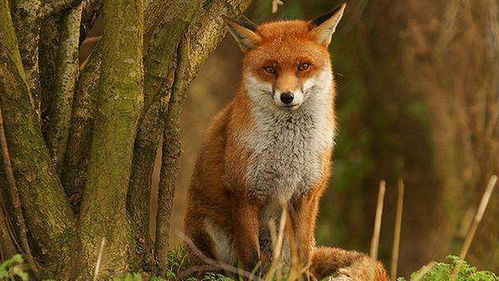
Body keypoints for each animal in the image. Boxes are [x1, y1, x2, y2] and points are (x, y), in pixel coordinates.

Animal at [184, 3, 390, 280]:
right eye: (270, 69)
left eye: (303, 66)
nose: (287, 96)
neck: (288, 147)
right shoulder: (244, 192)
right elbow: (250, 258)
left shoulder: (307, 193)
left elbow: (302, 255)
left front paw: (303, 277)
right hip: (210, 231)